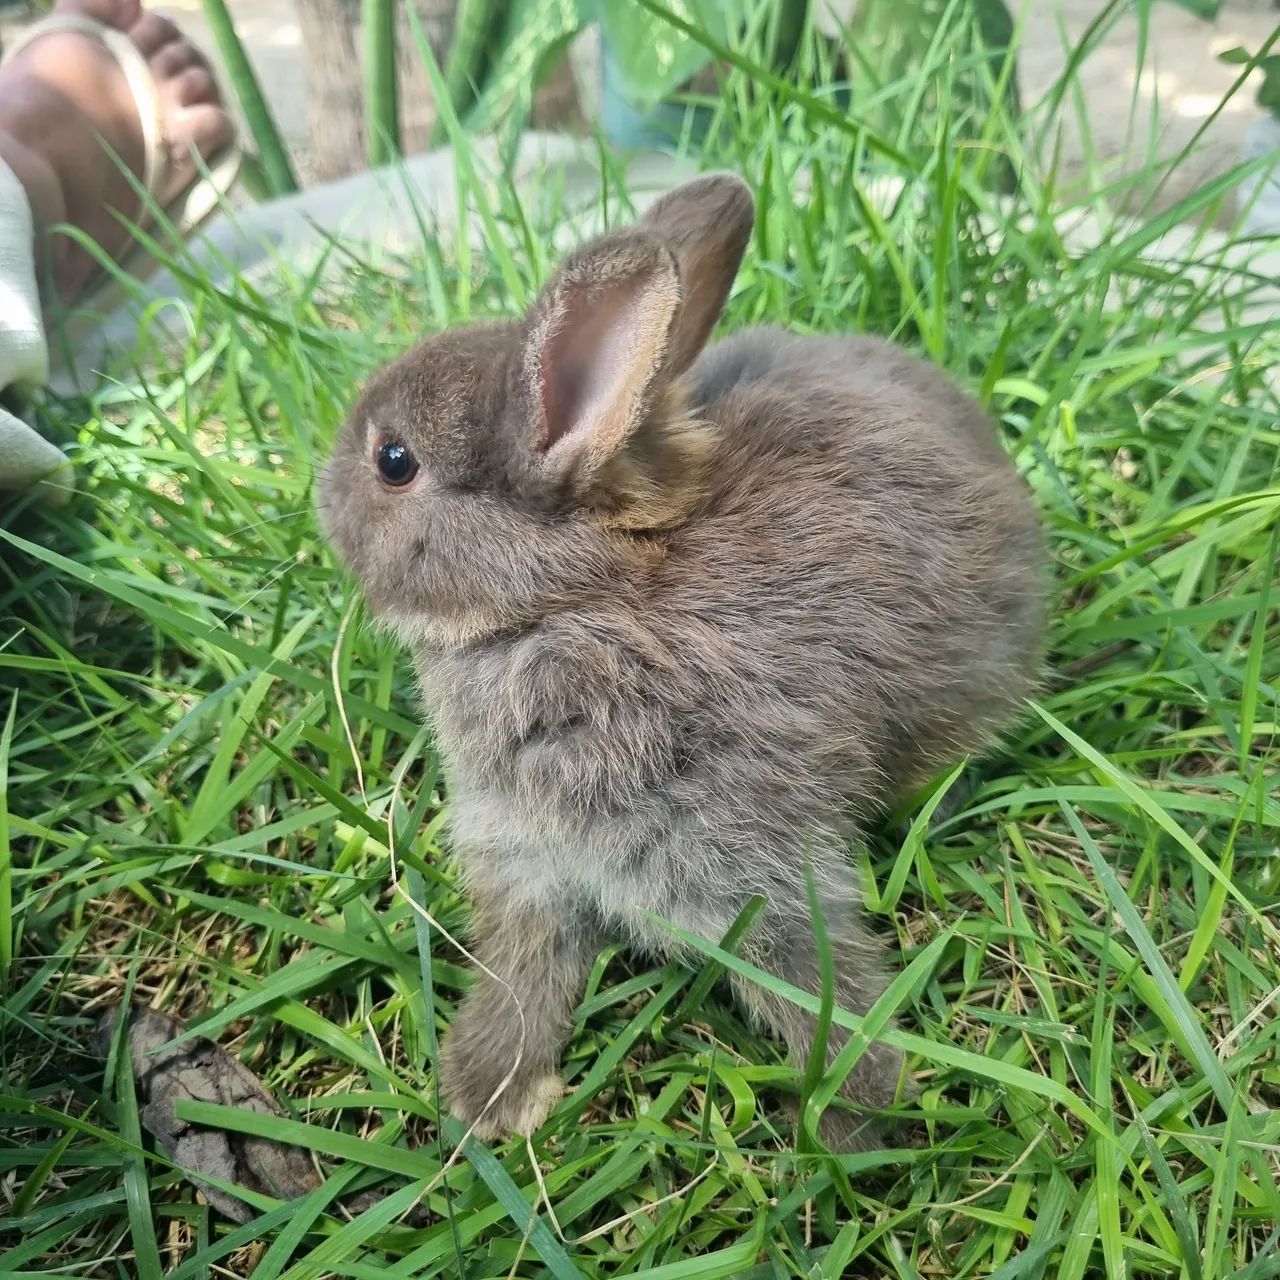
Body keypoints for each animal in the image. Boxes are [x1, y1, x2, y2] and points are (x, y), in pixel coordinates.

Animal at [320, 172, 1045, 1151]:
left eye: (393, 461)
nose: (320, 491)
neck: (564, 608)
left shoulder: (747, 856)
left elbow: (812, 976)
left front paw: (860, 1116)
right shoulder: (526, 863)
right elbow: (525, 968)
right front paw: (491, 1092)